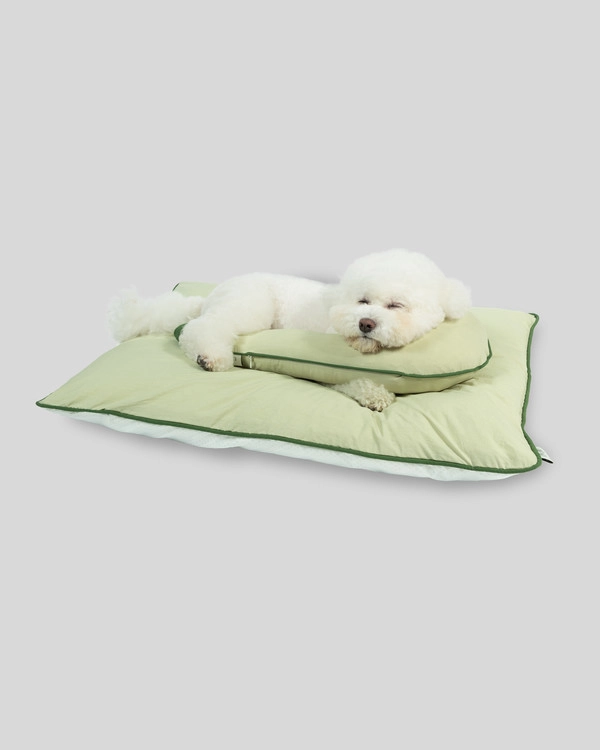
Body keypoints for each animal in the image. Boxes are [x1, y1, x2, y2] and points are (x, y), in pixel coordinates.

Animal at [107, 249, 471, 411]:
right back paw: (210, 356)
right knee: (204, 326)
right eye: (363, 300)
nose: (365, 323)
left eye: (396, 305)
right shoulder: (331, 364)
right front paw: (375, 394)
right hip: (250, 305)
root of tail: (213, 293)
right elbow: (349, 380)